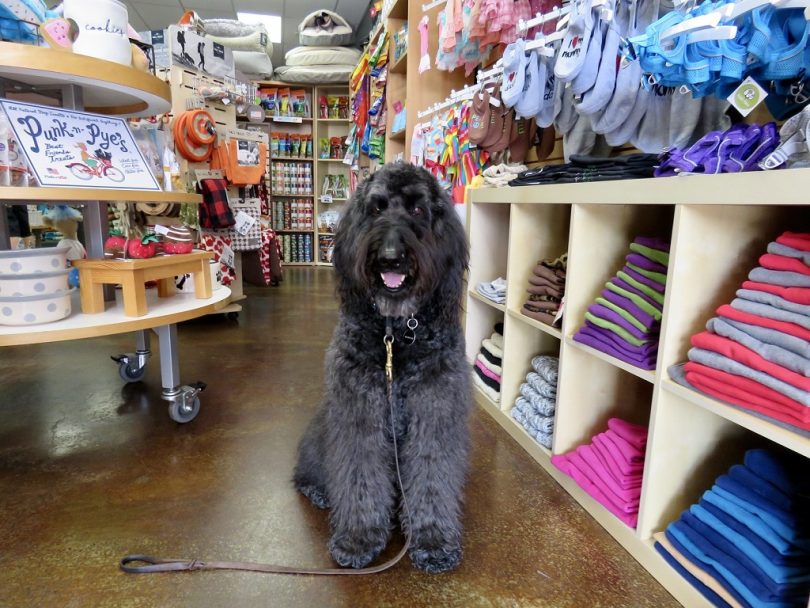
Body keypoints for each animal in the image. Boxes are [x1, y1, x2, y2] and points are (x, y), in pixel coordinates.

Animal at [294, 164, 474, 572]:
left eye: (418, 210)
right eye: (376, 209)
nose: (391, 257)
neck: (396, 332)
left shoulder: (434, 408)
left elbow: (431, 475)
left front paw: (433, 541)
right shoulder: (359, 409)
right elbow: (359, 474)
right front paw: (359, 538)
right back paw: (318, 490)